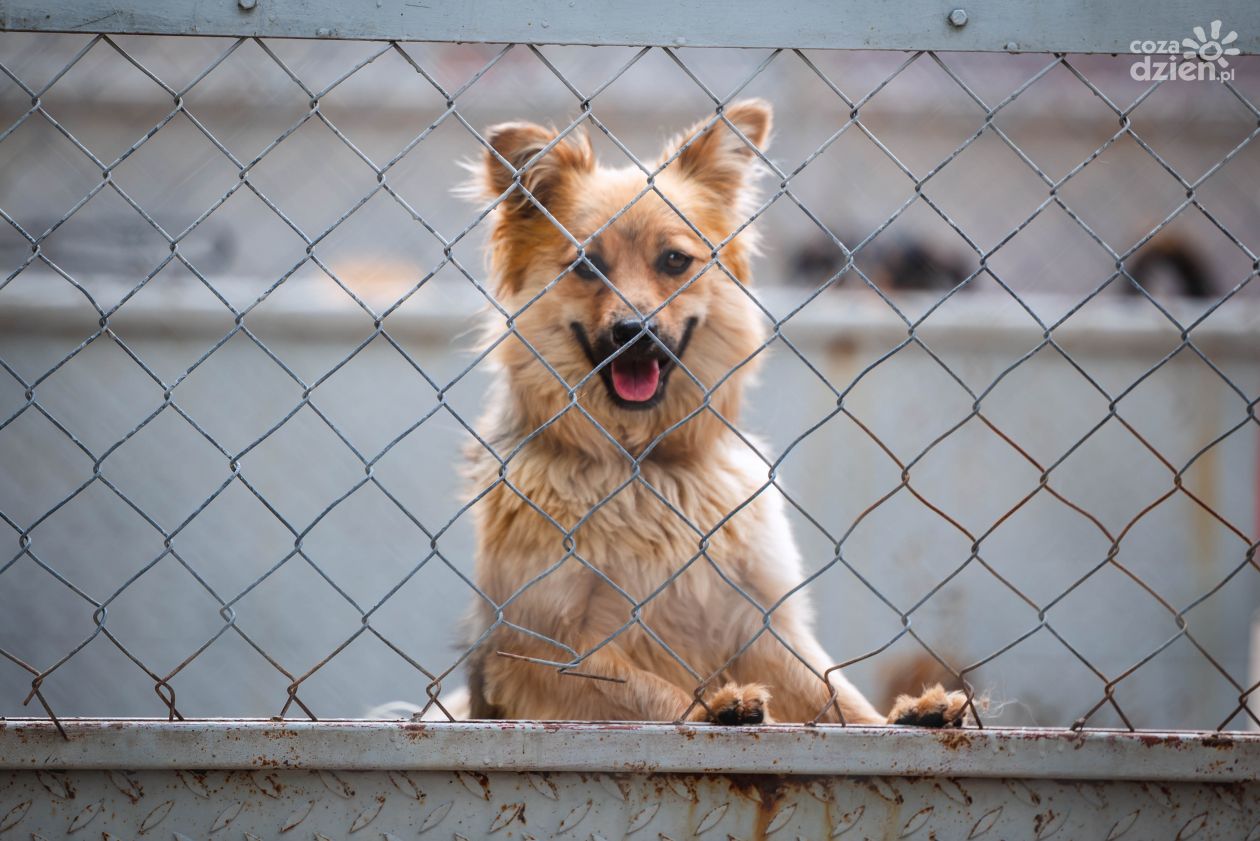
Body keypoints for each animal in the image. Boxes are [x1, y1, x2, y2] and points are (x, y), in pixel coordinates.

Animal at [458, 100, 967, 731]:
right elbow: (650, 691)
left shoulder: (758, 623)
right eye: (586, 267)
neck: (643, 465)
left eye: (675, 260)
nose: (635, 332)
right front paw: (715, 709)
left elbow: (836, 697)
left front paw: (911, 717)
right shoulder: (539, 651)